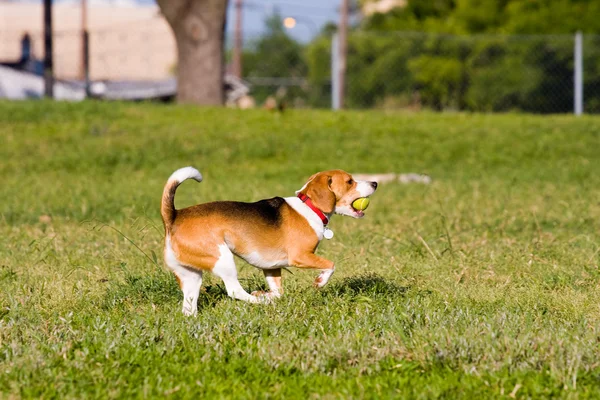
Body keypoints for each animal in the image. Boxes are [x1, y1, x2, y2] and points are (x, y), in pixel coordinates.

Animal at [159, 166, 376, 316]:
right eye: (349, 181)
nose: (375, 183)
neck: (309, 206)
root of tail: (174, 217)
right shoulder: (301, 256)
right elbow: (331, 265)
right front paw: (320, 282)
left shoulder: (272, 267)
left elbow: (278, 291)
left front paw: (266, 294)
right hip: (223, 258)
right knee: (235, 291)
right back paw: (262, 302)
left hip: (191, 276)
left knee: (189, 305)